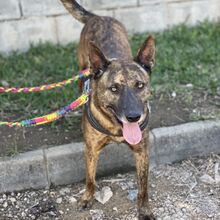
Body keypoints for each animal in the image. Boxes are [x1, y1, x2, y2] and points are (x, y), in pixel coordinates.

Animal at [60, 0, 156, 219]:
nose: (134, 117)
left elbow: (143, 186)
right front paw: (88, 197)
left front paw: (144, 209)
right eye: (114, 89)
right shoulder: (91, 150)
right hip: (81, 70)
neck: (116, 127)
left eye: (140, 85)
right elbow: (90, 177)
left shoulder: (142, 151)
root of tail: (98, 17)